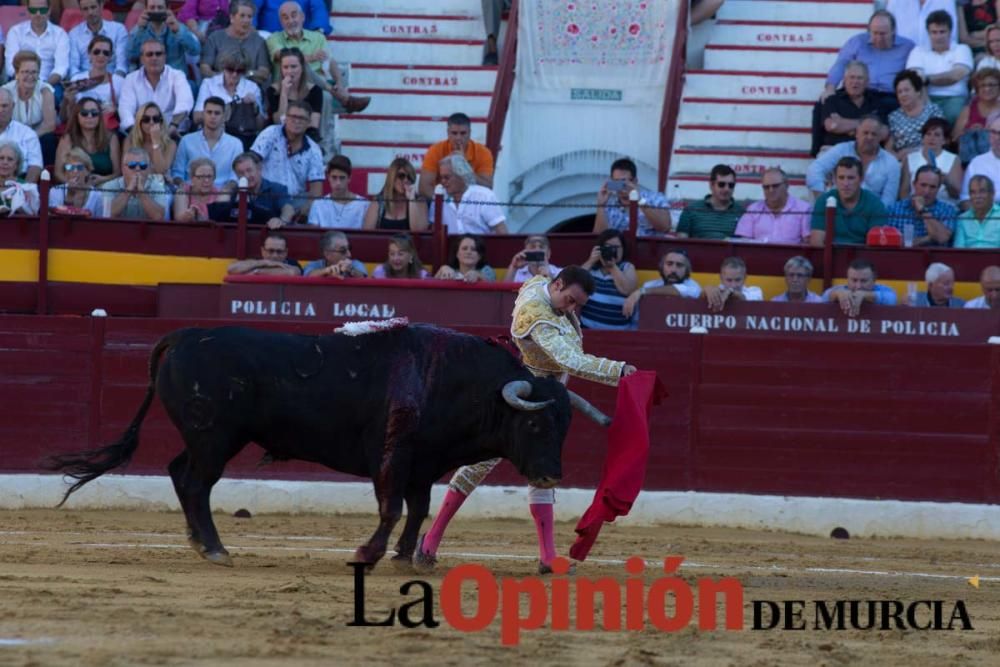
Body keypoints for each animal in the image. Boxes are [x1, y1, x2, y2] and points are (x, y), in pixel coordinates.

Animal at [47, 324, 608, 568]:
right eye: (535, 426)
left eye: (565, 427)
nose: (551, 476)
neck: (454, 380)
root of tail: (183, 336)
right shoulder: (393, 456)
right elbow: (390, 507)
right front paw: (367, 554)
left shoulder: (423, 463)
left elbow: (418, 508)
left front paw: (406, 556)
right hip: (215, 439)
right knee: (194, 482)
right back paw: (214, 547)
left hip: (209, 439)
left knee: (177, 472)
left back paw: (200, 542)